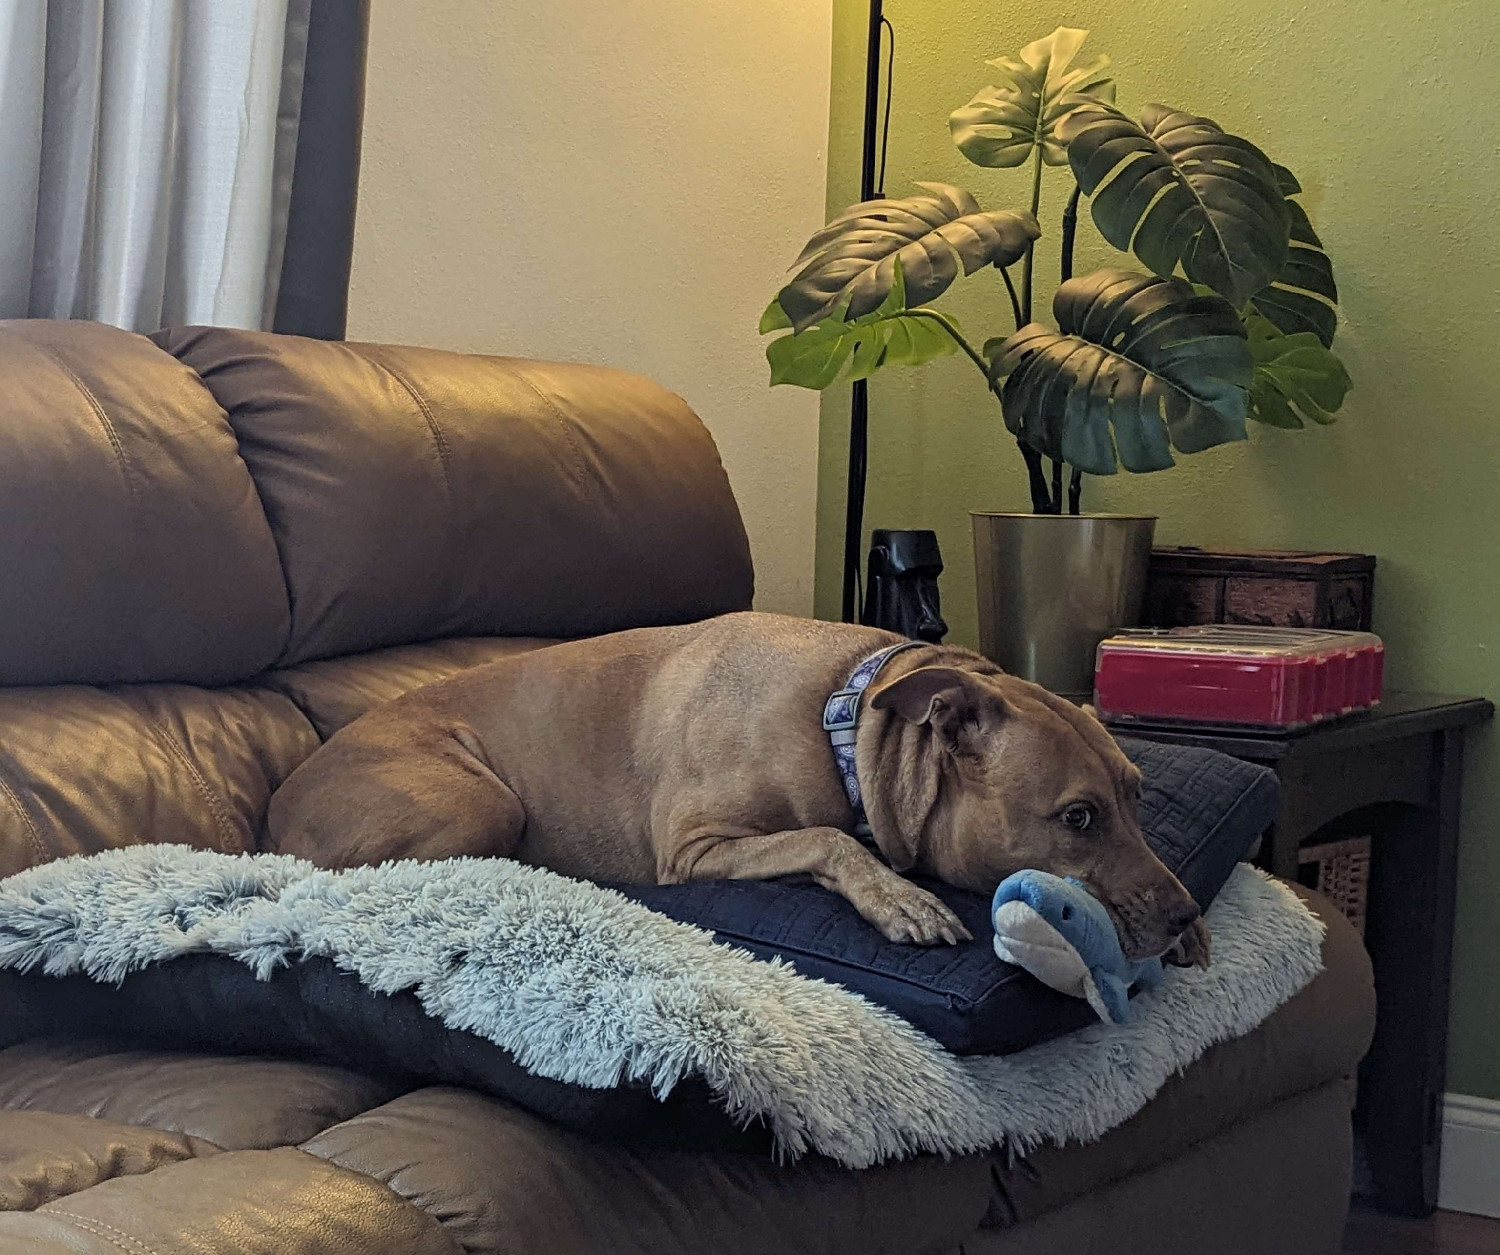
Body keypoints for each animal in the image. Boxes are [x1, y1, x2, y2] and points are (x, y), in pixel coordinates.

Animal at [267, 608, 1206, 959]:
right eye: (1078, 816)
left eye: (1137, 796)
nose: (1188, 918)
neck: (847, 723)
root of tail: (276, 802)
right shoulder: (696, 846)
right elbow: (825, 837)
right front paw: (900, 898)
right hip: (482, 797)